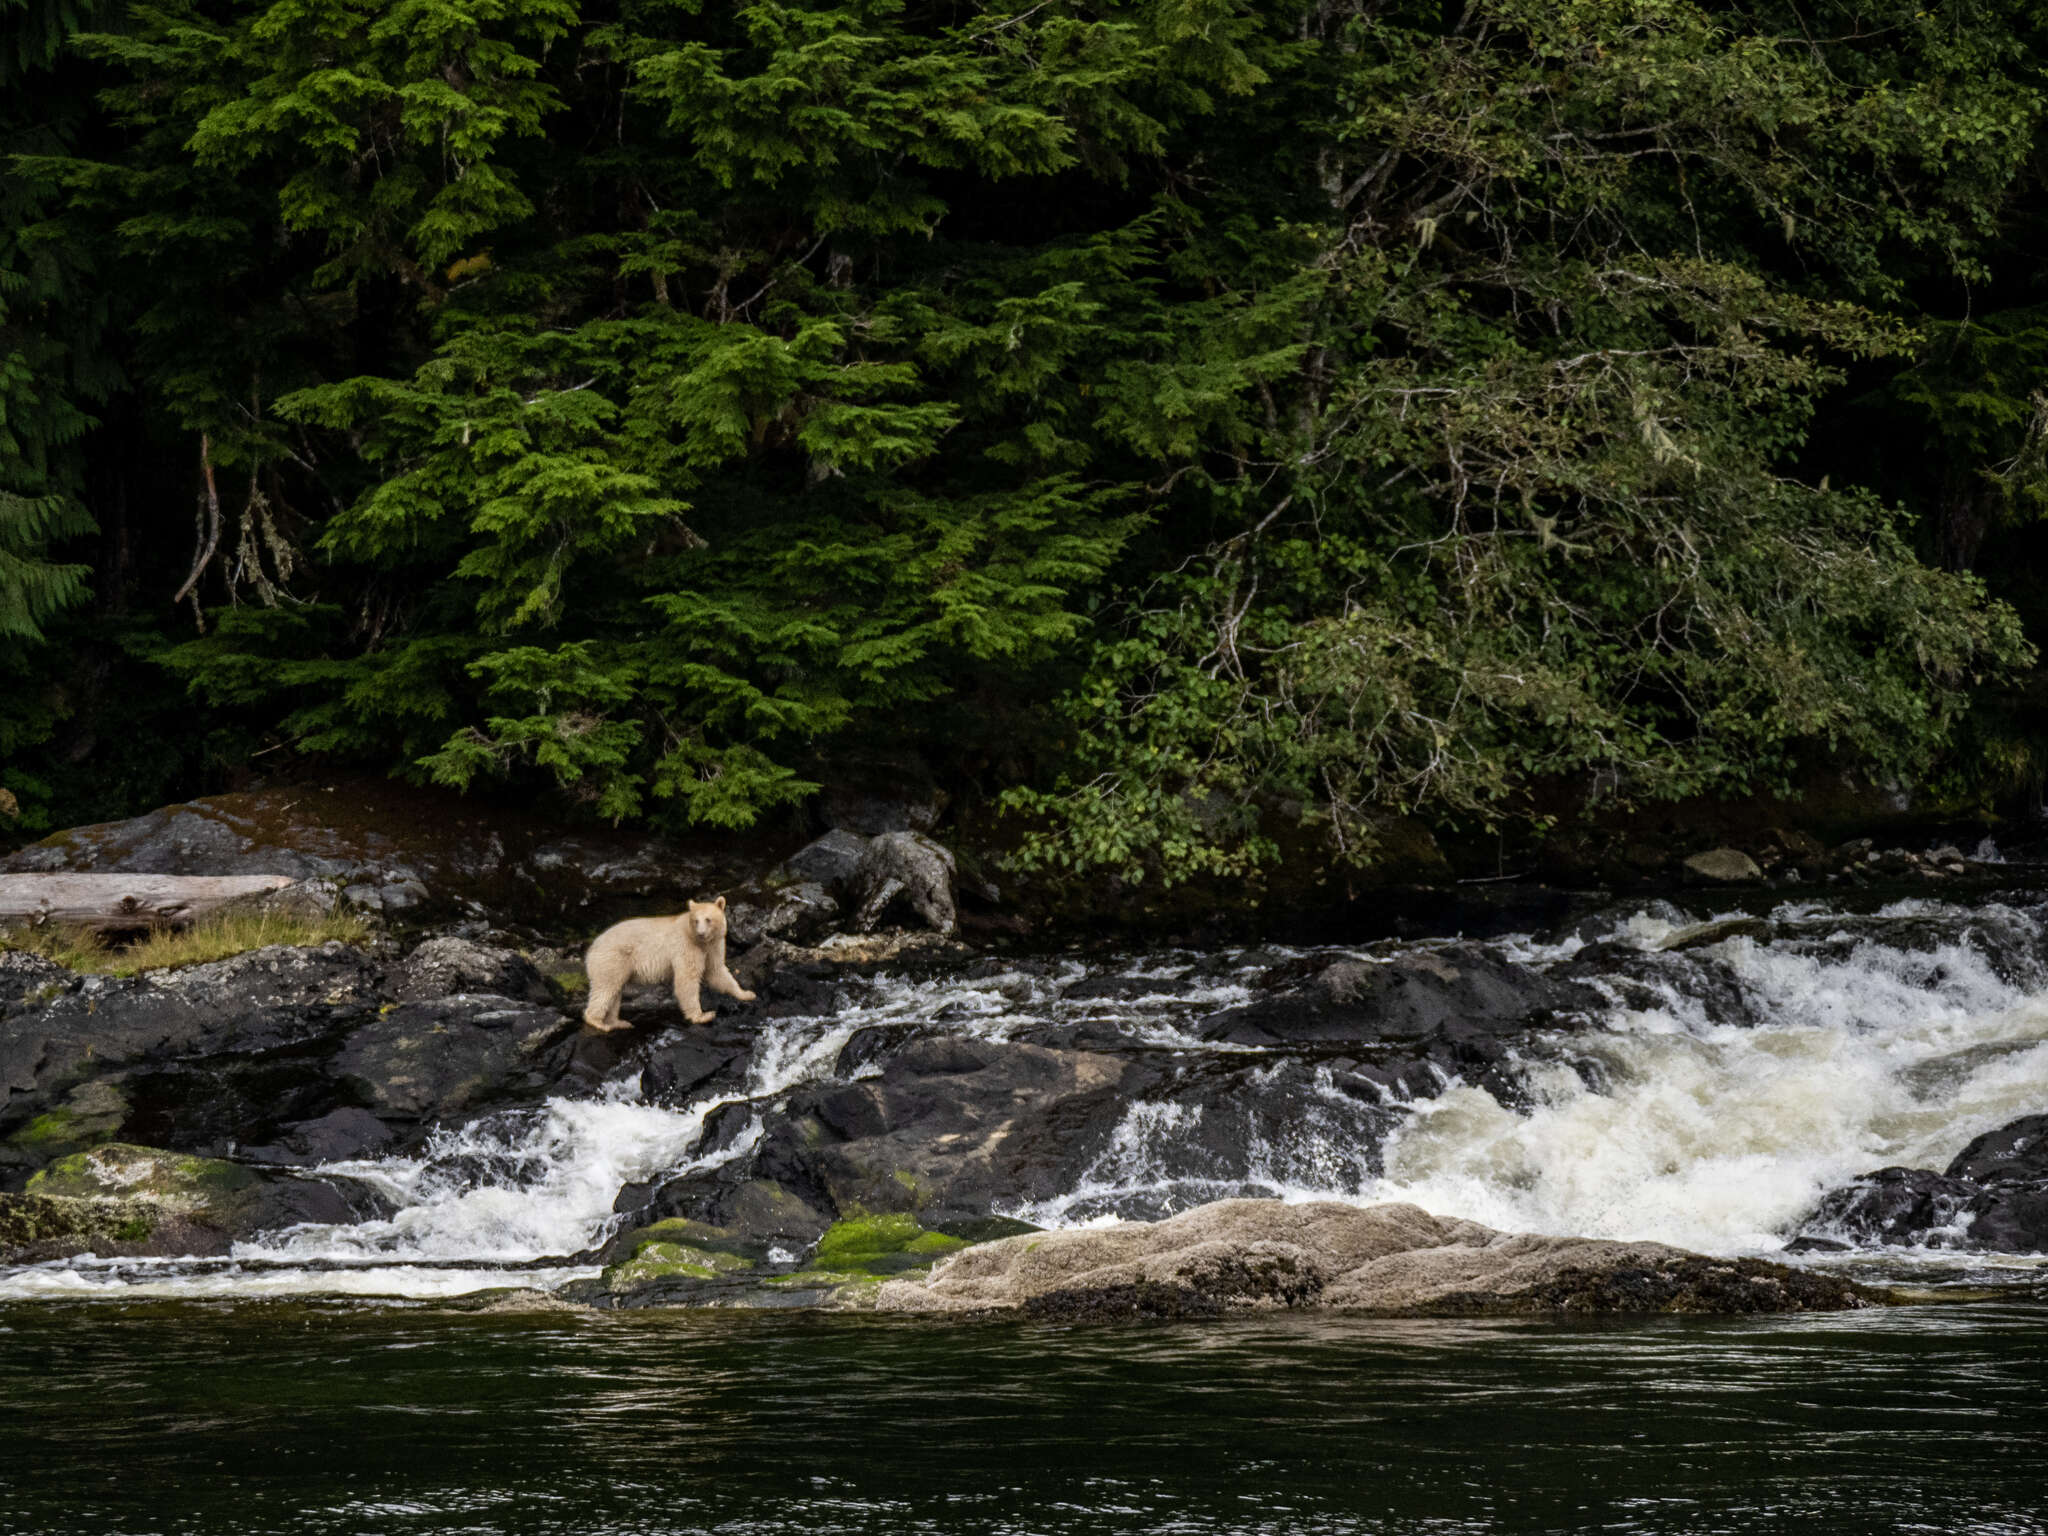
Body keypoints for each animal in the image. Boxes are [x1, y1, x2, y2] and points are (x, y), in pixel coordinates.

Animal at [581, 901, 757, 1036]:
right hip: (612, 960)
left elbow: (717, 972)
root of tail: (591, 949)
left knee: (614, 992)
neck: (701, 942)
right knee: (606, 988)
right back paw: (599, 1022)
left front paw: (747, 994)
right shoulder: (687, 946)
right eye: (695, 920)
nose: (701, 933)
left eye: (708, 919)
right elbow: (687, 979)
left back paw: (617, 1022)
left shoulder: (713, 947)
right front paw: (703, 1015)